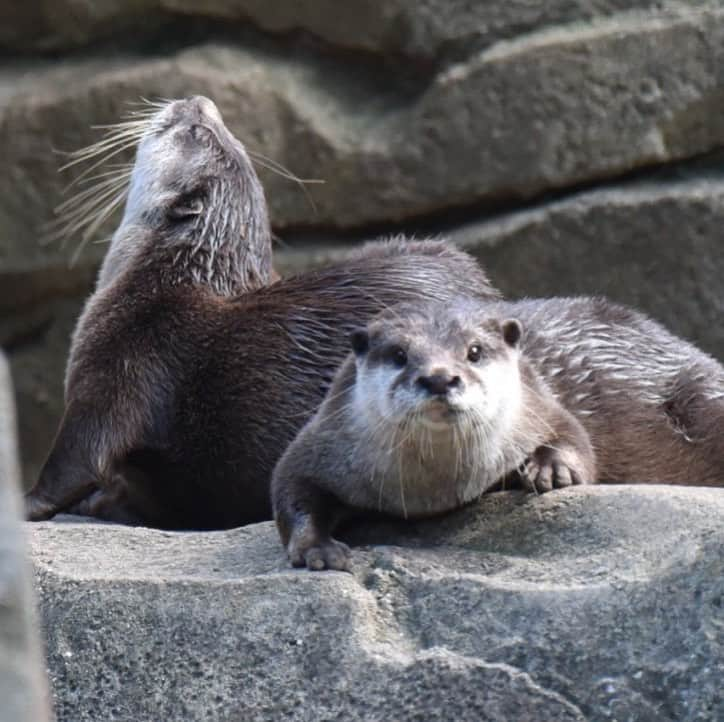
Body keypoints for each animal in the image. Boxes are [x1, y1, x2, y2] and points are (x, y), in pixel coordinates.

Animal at [274, 296, 724, 572]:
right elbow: (290, 486)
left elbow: (576, 438)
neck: (434, 489)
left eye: (473, 351)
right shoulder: (326, 438)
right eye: (399, 355)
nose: (439, 378)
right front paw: (318, 549)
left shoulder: (538, 405)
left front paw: (551, 469)